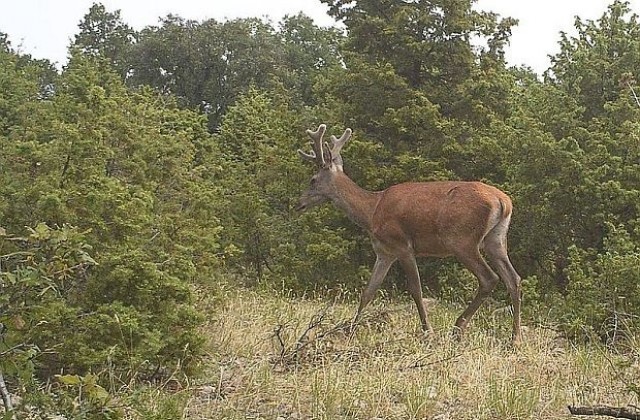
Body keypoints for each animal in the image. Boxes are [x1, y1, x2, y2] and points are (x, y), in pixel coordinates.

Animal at [298, 123, 524, 342]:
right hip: (496, 239)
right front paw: (350, 331)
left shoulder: (402, 245)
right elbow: (368, 291)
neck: (372, 211)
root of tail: (503, 201)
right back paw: (514, 338)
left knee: (489, 278)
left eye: (313, 179)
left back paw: (458, 327)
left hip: (462, 240)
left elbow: (415, 289)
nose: (299, 203)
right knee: (513, 278)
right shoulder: (384, 252)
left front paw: (428, 332)